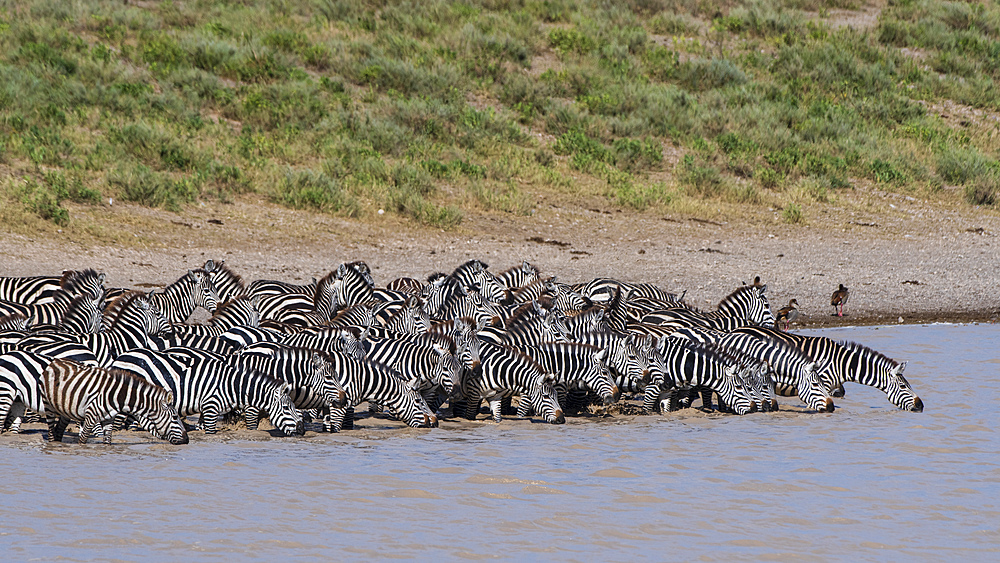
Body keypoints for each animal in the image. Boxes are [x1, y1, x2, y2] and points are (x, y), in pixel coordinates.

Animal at [40, 356, 188, 446]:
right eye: (175, 417)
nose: (186, 440)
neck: (117, 397)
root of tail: (55, 361)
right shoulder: (90, 417)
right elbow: (82, 441)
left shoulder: (109, 418)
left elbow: (107, 442)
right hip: (48, 406)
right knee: (51, 432)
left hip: (65, 409)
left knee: (59, 430)